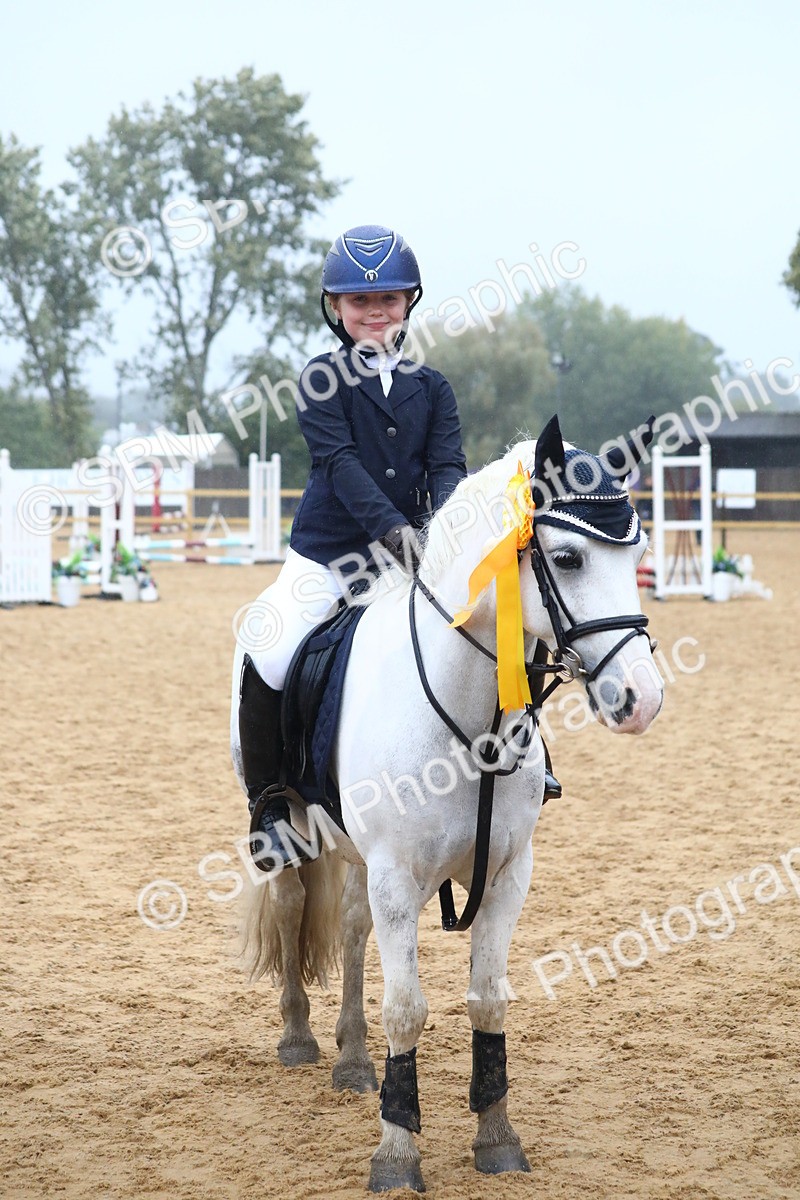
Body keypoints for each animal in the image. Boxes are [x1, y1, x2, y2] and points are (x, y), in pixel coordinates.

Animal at [231, 415, 664, 1193]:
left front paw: (496, 1136)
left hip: (356, 856)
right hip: (292, 831)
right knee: (290, 904)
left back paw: (351, 1058)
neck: (473, 719)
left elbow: (488, 999)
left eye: (639, 554)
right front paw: (396, 1152)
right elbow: (407, 1009)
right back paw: (298, 1035)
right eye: (567, 558)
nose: (641, 700)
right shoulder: (398, 875)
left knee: (349, 928)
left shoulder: (506, 872)